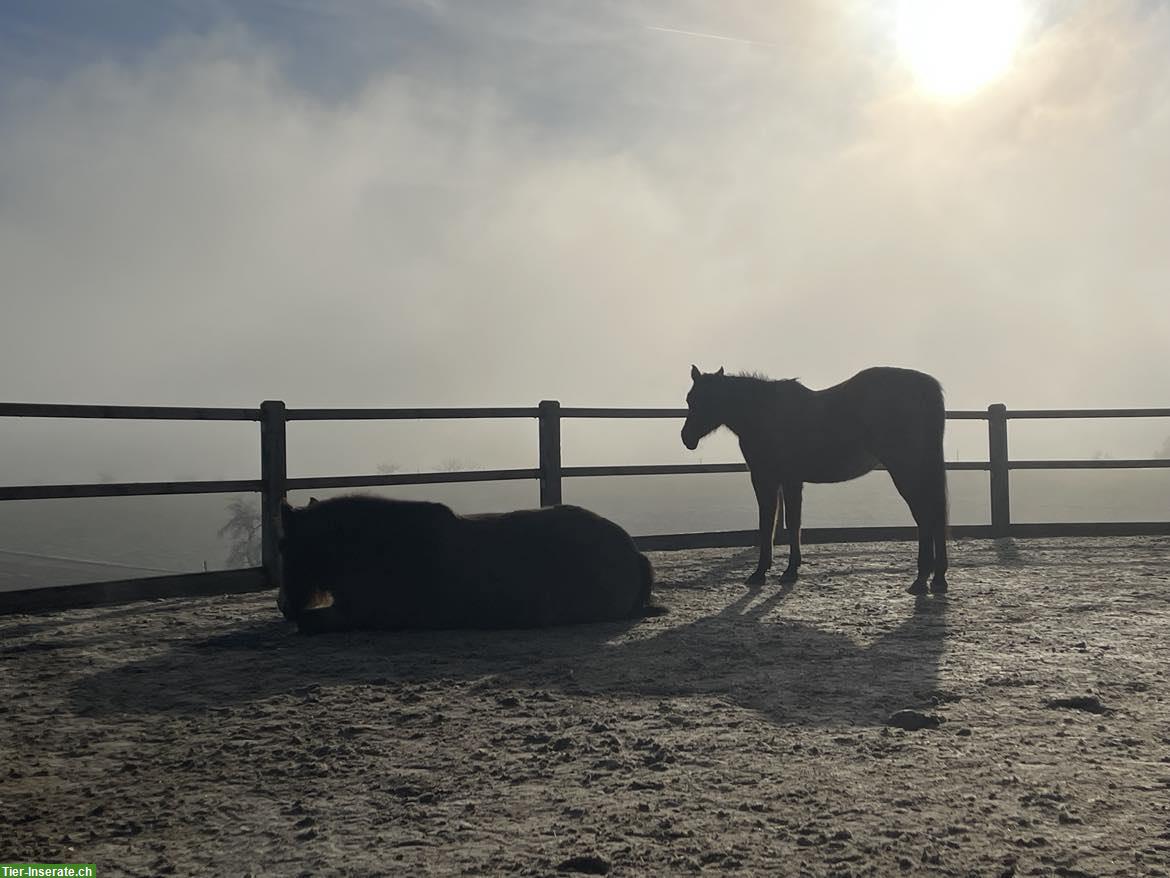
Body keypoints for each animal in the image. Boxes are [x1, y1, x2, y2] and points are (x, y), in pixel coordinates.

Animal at [683, 360, 945, 594]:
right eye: (689, 399)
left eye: (706, 399)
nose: (686, 438)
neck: (766, 412)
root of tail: (925, 386)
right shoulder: (787, 482)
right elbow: (790, 523)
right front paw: (785, 569)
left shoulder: (769, 479)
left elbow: (773, 524)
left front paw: (769, 572)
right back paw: (937, 579)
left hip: (906, 472)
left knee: (925, 517)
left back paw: (921, 580)